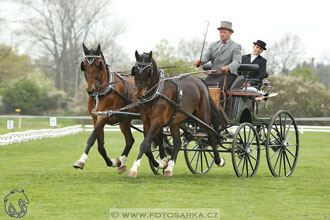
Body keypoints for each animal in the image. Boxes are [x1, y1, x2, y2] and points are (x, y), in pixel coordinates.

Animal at [73, 43, 138, 174]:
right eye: (84, 65)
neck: (102, 92)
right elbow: (100, 145)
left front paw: (80, 161)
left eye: (99, 64)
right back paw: (122, 163)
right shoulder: (95, 118)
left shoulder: (103, 117)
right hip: (124, 120)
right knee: (130, 140)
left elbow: (91, 138)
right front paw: (114, 162)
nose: (90, 89)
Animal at [127, 50, 228, 178]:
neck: (157, 92)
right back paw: (169, 168)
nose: (139, 94)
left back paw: (219, 161)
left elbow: (145, 144)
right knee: (178, 142)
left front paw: (133, 170)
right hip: (175, 120)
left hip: (203, 114)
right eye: (135, 70)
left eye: (149, 71)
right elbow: (148, 147)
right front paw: (162, 163)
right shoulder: (146, 121)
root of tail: (200, 81)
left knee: (210, 133)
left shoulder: (157, 121)